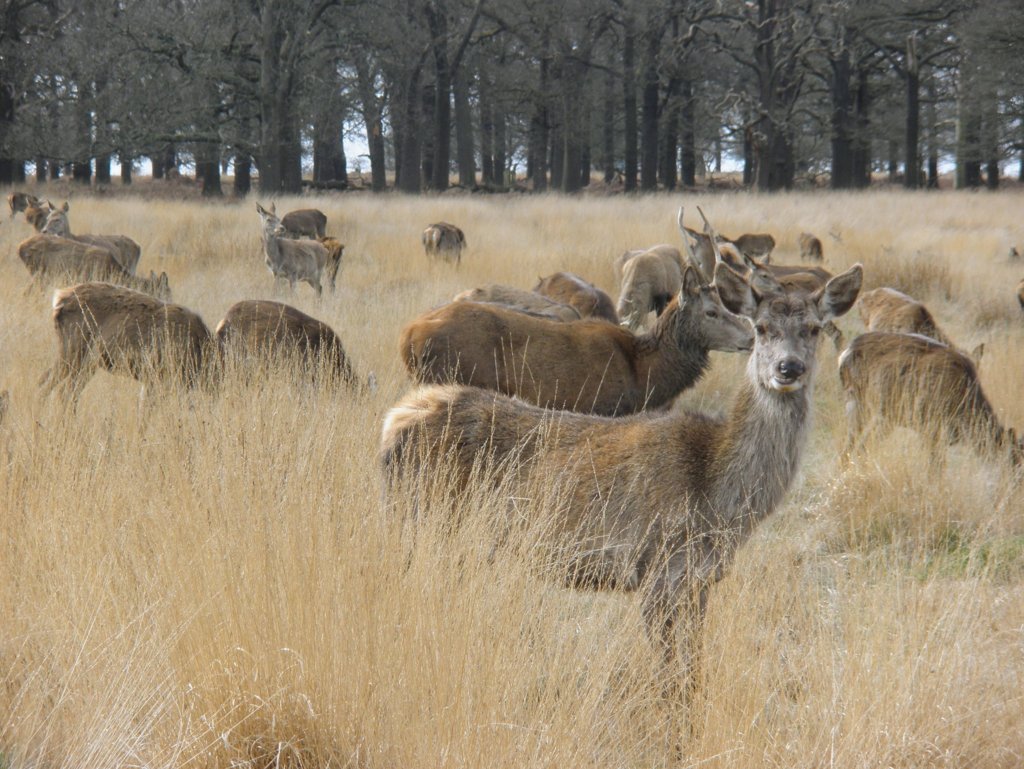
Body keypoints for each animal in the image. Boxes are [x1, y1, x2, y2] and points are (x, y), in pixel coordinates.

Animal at [39, 282, 215, 404]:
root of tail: (59, 299)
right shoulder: (160, 375)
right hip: (73, 351)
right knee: (52, 386)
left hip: (88, 362)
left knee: (61, 389)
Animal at [838, 332, 1023, 468]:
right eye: (1014, 461)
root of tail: (845, 353)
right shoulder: (932, 428)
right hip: (859, 402)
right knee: (850, 449)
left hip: (884, 416)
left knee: (858, 448)